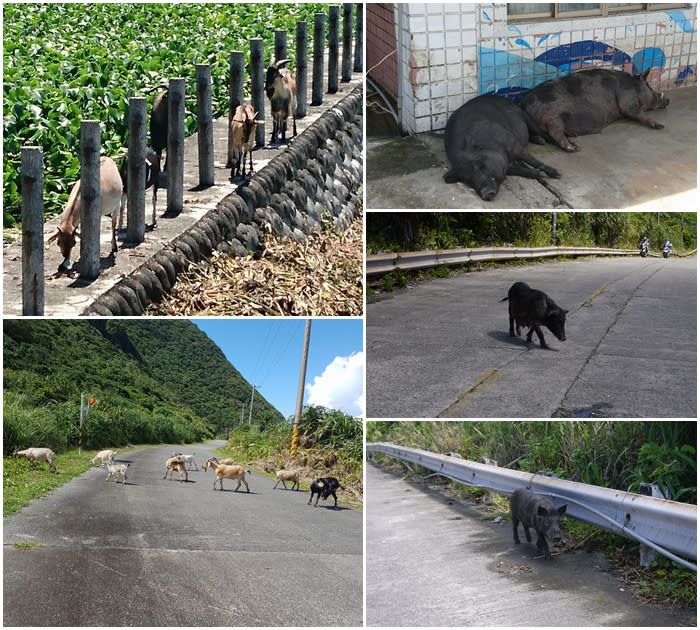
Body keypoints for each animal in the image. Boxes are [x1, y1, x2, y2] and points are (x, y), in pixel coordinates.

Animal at [524, 68, 668, 153]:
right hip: (553, 118)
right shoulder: (627, 100)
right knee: (555, 132)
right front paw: (661, 126)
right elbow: (637, 112)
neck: (633, 85)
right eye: (649, 86)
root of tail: (523, 106)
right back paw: (575, 148)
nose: (668, 100)